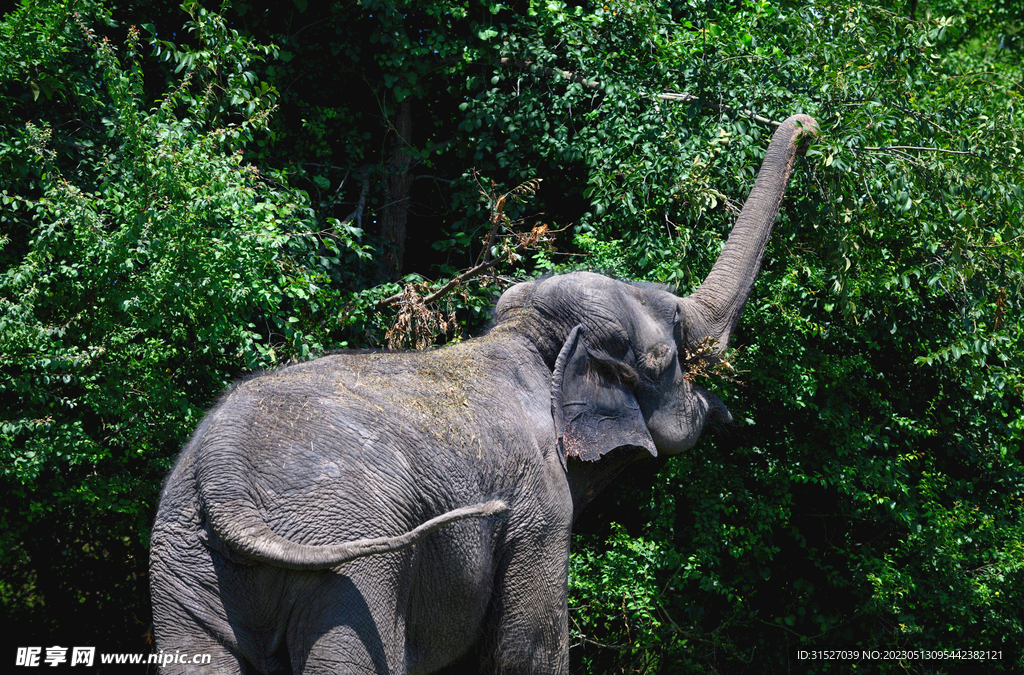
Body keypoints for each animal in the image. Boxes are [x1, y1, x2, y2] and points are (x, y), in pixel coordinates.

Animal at [148, 113, 815, 671]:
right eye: (666, 358)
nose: (805, 126)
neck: (532, 342)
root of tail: (225, 475)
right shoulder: (539, 505)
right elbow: (528, 648)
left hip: (181, 563)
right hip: (346, 558)